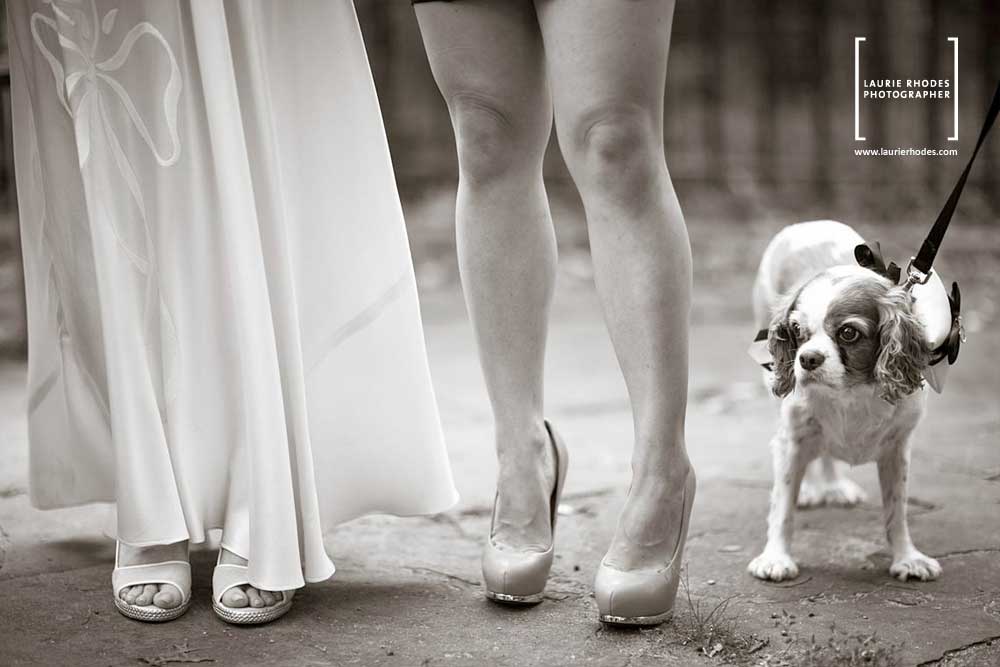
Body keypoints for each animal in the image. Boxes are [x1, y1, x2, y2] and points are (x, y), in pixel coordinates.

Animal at [748, 222, 940, 580]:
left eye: (848, 333)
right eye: (796, 330)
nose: (807, 359)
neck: (851, 391)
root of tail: (807, 224)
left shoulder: (896, 449)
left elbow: (897, 511)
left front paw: (907, 557)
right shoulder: (791, 439)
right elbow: (782, 508)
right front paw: (776, 558)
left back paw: (833, 485)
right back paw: (812, 489)